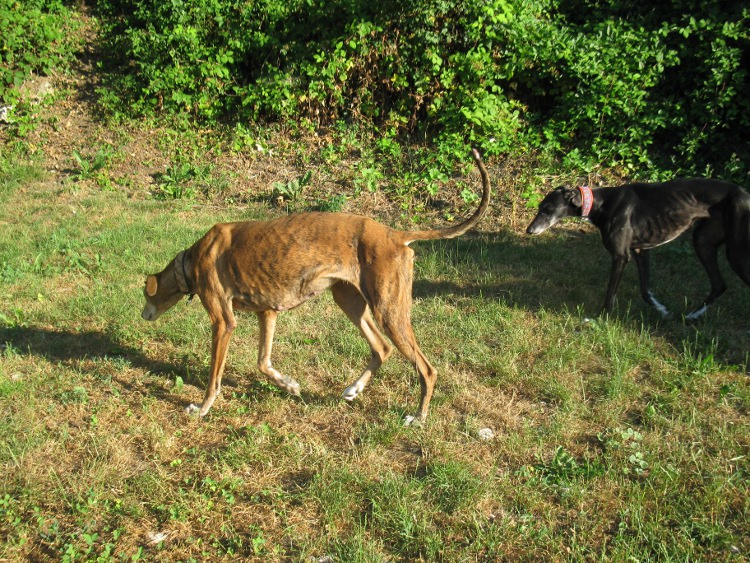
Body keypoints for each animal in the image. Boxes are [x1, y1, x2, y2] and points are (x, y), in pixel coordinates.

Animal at [142, 149, 494, 424]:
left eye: (146, 295)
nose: (143, 315)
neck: (192, 258)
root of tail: (395, 234)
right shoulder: (268, 313)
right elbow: (263, 363)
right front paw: (290, 385)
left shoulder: (223, 322)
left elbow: (215, 378)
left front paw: (202, 409)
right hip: (351, 302)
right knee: (382, 348)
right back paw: (353, 389)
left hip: (389, 311)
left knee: (426, 369)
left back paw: (418, 417)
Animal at [528, 181, 750, 322]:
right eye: (539, 207)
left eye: (547, 209)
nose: (529, 230)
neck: (601, 203)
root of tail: (745, 194)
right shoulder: (640, 251)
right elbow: (645, 290)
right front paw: (663, 311)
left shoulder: (620, 257)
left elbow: (610, 295)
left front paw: (599, 319)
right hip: (703, 242)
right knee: (719, 285)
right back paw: (692, 316)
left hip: (737, 255)